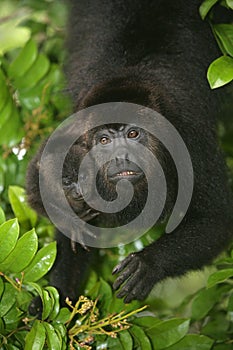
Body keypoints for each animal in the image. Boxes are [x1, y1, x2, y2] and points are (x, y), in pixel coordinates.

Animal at [26, 0, 232, 304]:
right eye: (103, 140)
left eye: (133, 134)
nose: (121, 156)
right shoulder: (74, 136)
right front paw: (57, 301)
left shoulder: (191, 143)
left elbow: (216, 219)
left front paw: (149, 263)